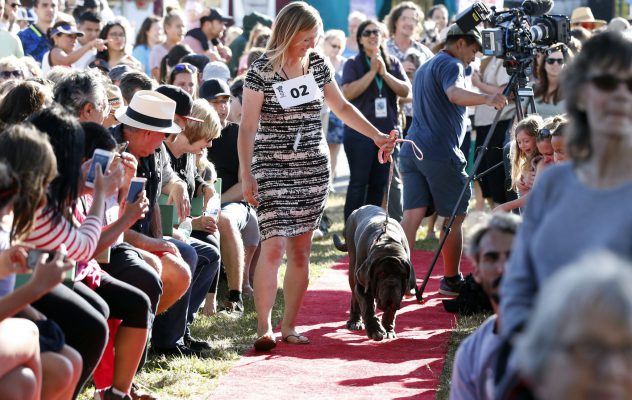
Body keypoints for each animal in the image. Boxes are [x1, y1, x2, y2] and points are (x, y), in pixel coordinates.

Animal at [334, 206, 418, 340]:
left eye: (402, 275)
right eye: (381, 274)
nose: (391, 284)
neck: (388, 243)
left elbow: (390, 312)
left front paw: (388, 329)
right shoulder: (362, 285)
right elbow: (368, 307)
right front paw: (375, 330)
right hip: (353, 270)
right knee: (354, 297)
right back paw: (354, 321)